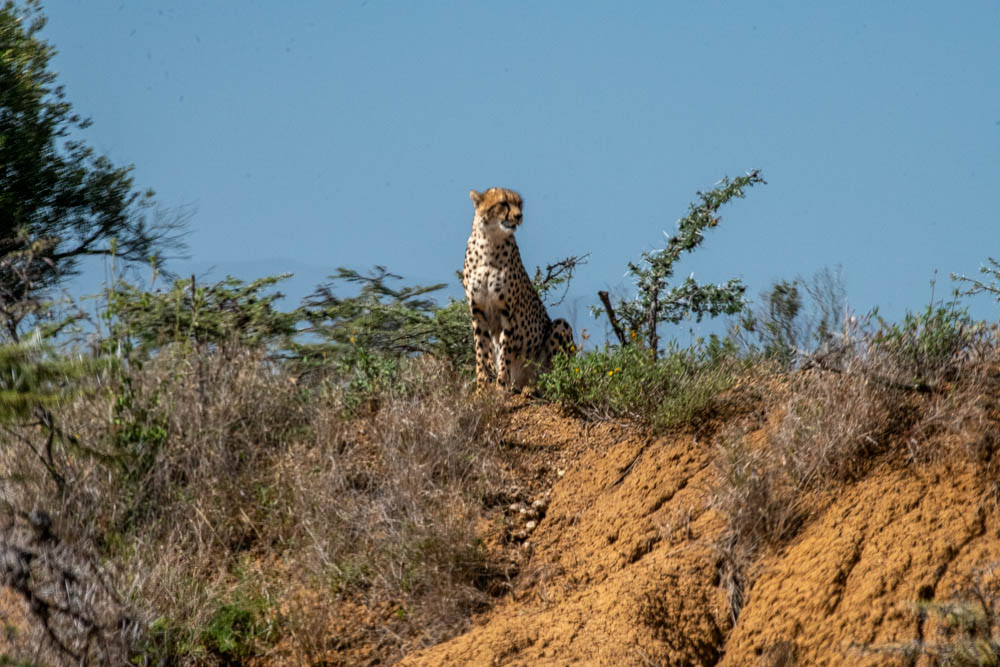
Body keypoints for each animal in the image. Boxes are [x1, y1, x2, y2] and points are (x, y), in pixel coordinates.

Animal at [463, 187, 574, 390]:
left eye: (519, 204)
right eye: (503, 203)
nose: (519, 216)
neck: (489, 242)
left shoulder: (508, 312)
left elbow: (505, 351)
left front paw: (500, 385)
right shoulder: (478, 310)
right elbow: (481, 351)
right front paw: (482, 386)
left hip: (560, 327)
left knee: (555, 377)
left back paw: (533, 388)